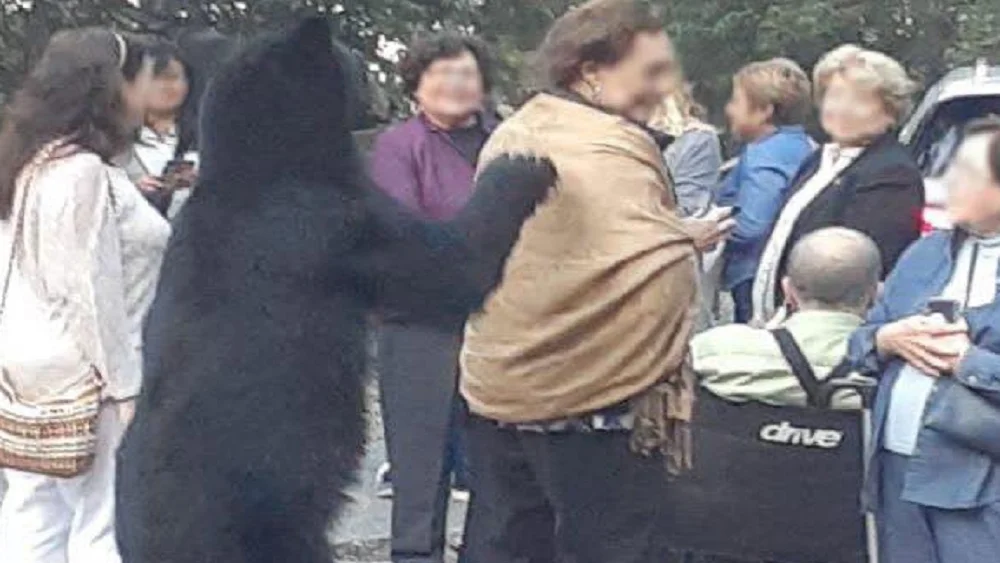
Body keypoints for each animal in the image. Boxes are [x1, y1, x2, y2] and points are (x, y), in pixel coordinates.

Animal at [117, 17, 556, 563]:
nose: (387, 96)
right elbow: (447, 266)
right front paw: (522, 166)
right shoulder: (333, 226)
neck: (263, 167)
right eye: (354, 63)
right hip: (265, 518)